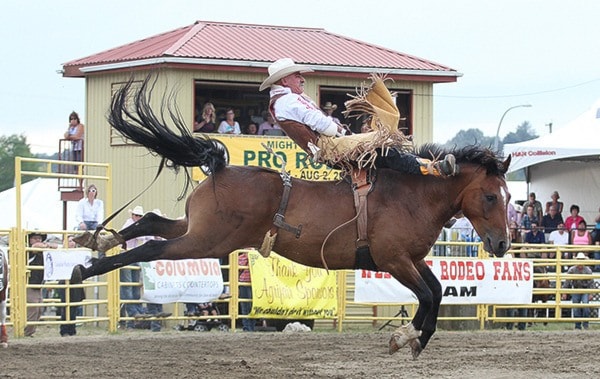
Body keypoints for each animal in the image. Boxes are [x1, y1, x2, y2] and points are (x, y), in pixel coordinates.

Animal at [70, 79, 510, 360]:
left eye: (508, 197)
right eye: (491, 196)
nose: (503, 243)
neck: (414, 194)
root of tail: (221, 168)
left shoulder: (412, 260)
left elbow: (433, 292)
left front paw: (411, 338)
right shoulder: (394, 260)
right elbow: (428, 296)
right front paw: (407, 338)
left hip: (196, 228)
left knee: (150, 222)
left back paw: (96, 244)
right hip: (206, 241)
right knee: (152, 247)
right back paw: (84, 268)